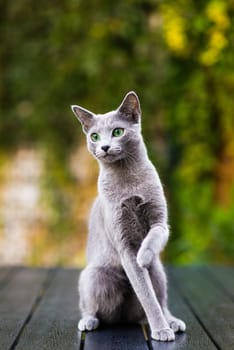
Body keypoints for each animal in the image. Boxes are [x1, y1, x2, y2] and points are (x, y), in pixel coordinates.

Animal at [70, 91, 186, 340]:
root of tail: (123, 317)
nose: (104, 146)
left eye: (117, 132)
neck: (128, 179)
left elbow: (156, 233)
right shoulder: (123, 243)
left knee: (162, 300)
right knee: (90, 305)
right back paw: (89, 321)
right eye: (94, 136)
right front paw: (160, 329)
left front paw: (144, 254)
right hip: (94, 275)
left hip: (159, 272)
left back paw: (172, 322)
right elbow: (146, 295)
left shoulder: (160, 219)